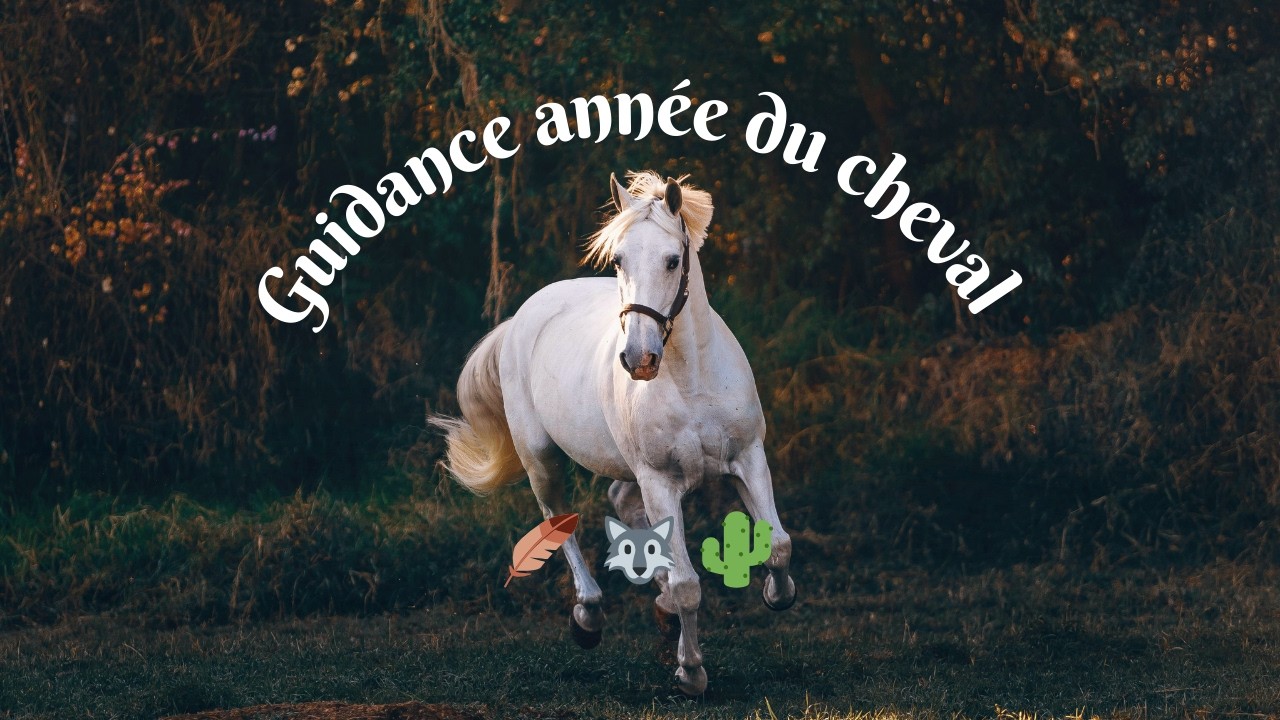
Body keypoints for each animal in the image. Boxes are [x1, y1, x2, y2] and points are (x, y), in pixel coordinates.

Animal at [432, 171, 796, 695]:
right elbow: (688, 584)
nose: (638, 359)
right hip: (542, 458)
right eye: (619, 259)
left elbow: (779, 544)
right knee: (557, 519)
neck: (692, 379)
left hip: (628, 468)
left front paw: (775, 594)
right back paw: (588, 616)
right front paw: (691, 672)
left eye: (672, 260)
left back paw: (657, 607)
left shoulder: (748, 459)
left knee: (621, 502)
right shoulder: (660, 481)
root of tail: (523, 317)